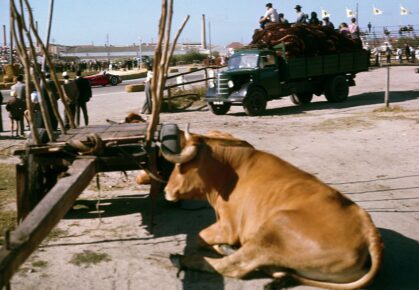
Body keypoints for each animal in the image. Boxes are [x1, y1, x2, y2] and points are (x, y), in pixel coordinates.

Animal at [163, 132, 384, 290]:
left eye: (180, 166)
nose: (166, 190)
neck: (229, 173)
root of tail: (368, 230)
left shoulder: (228, 227)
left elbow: (198, 236)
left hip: (275, 226)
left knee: (235, 266)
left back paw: (183, 258)